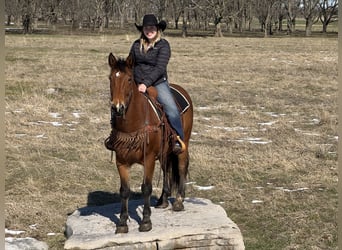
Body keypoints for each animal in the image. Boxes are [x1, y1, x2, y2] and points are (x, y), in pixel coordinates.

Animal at [105, 53, 194, 234]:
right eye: (110, 78)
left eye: (129, 79)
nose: (117, 108)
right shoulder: (121, 161)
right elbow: (124, 191)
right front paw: (122, 222)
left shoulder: (149, 159)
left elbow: (146, 187)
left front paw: (146, 221)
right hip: (165, 151)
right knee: (167, 169)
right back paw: (163, 200)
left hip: (183, 144)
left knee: (181, 166)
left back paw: (179, 201)